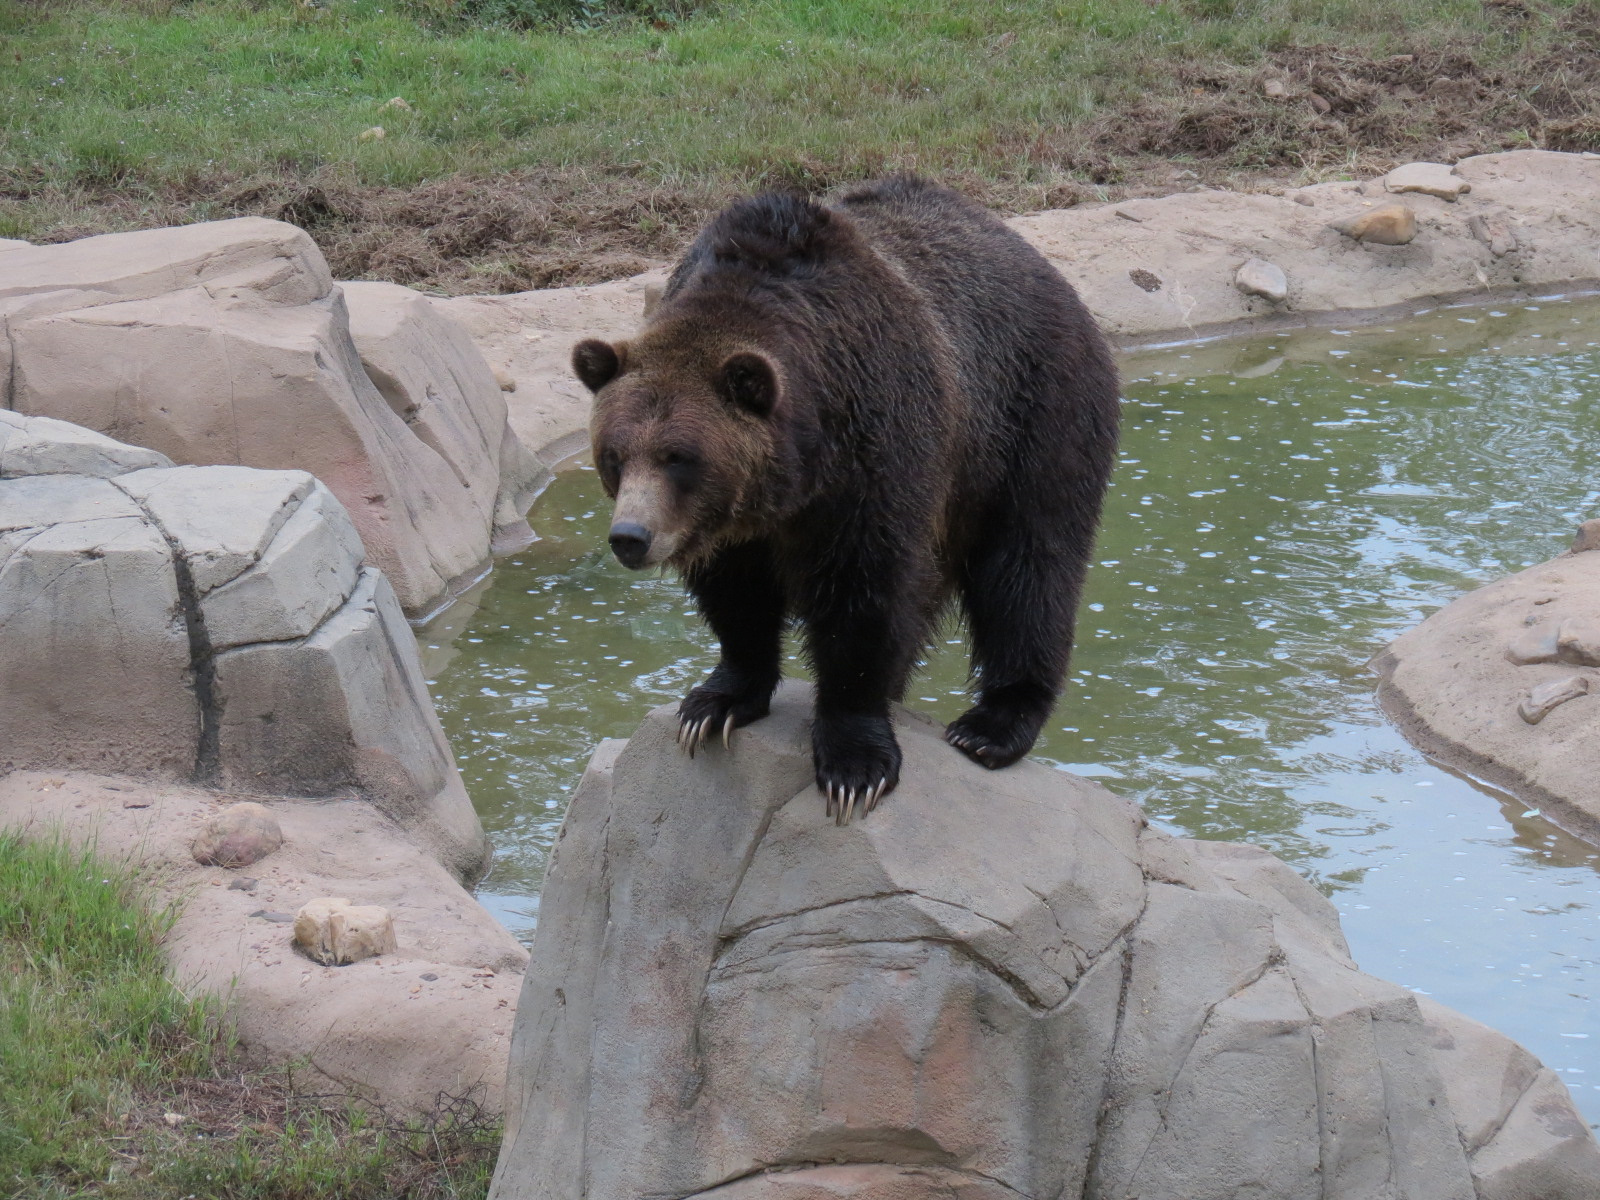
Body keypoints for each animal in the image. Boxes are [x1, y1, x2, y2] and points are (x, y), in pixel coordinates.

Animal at [572, 176, 1120, 823]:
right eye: (614, 455)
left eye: (679, 456)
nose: (630, 537)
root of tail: (1039, 261)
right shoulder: (730, 527)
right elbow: (736, 595)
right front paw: (715, 703)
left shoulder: (875, 448)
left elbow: (865, 594)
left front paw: (854, 763)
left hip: (1032, 417)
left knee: (1029, 566)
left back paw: (993, 724)